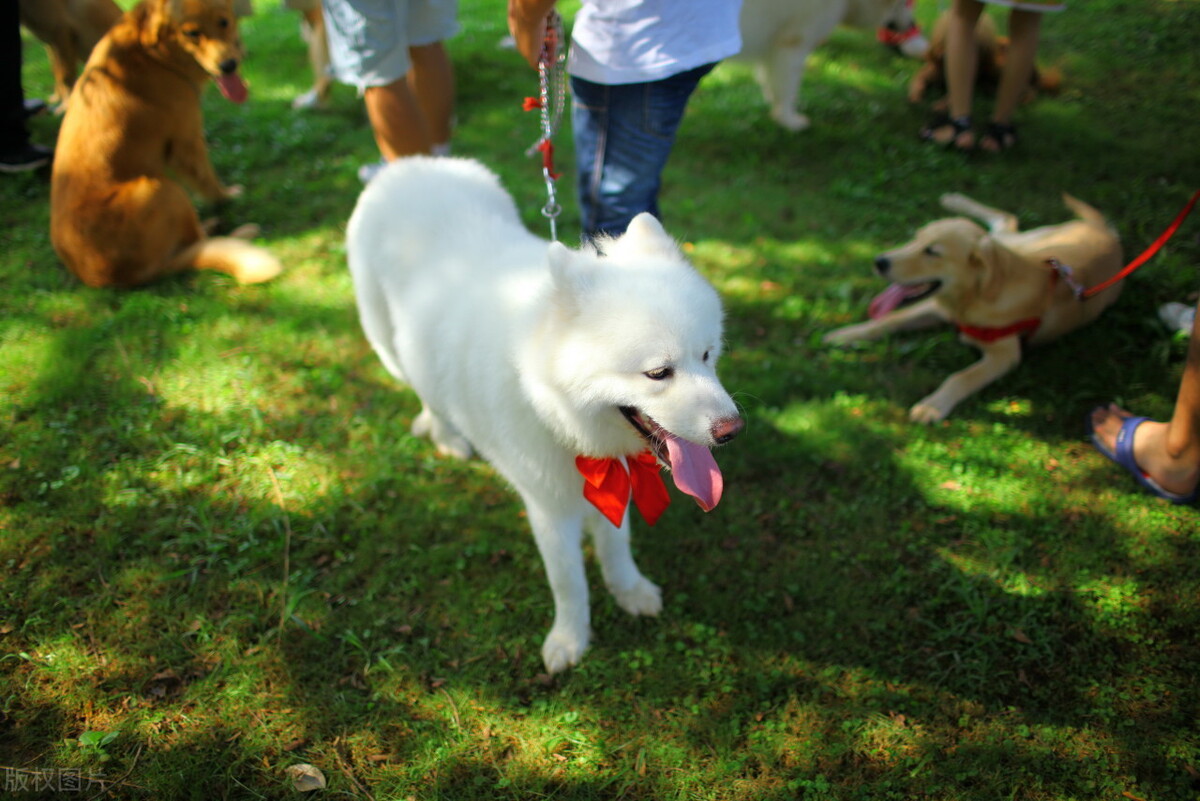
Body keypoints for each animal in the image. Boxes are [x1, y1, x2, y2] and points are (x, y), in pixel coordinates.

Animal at [49, 0, 280, 287]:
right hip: (160, 188)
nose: (228, 65)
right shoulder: (186, 141)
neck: (153, 53)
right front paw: (225, 196)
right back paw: (238, 233)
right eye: (191, 33)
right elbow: (208, 180)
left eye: (224, 22)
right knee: (196, 241)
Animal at [343, 158, 744, 676]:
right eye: (658, 373)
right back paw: (445, 433)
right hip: (386, 343)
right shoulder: (549, 508)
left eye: (708, 354)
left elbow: (616, 547)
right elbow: (568, 581)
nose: (733, 429)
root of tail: (408, 166)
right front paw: (570, 639)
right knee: (421, 386)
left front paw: (629, 590)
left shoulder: (613, 484)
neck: (555, 409)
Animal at [734, 0, 912, 131]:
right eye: (903, 3)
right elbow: (787, 91)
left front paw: (774, 107)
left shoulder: (772, 50)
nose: (911, 25)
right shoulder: (792, 46)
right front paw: (789, 120)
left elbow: (769, 82)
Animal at [825, 193, 1123, 422]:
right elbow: (889, 320)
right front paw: (845, 334)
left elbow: (962, 376)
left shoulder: (1005, 355)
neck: (972, 298)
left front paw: (932, 405)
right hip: (1028, 242)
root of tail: (1106, 231)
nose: (879, 261)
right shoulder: (935, 307)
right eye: (915, 239)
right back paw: (954, 200)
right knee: (1006, 219)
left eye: (932, 252)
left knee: (1007, 219)